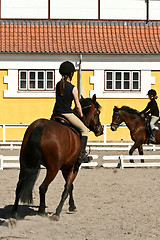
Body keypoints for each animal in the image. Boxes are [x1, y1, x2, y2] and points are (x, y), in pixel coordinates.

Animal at [10, 94, 103, 222]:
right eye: (97, 112)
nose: (100, 130)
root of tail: (40, 126)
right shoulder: (73, 167)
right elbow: (67, 188)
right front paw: (58, 212)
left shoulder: (65, 168)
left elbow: (70, 187)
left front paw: (72, 206)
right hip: (53, 169)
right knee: (43, 187)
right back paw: (42, 211)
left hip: (24, 164)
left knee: (19, 186)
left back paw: (14, 213)